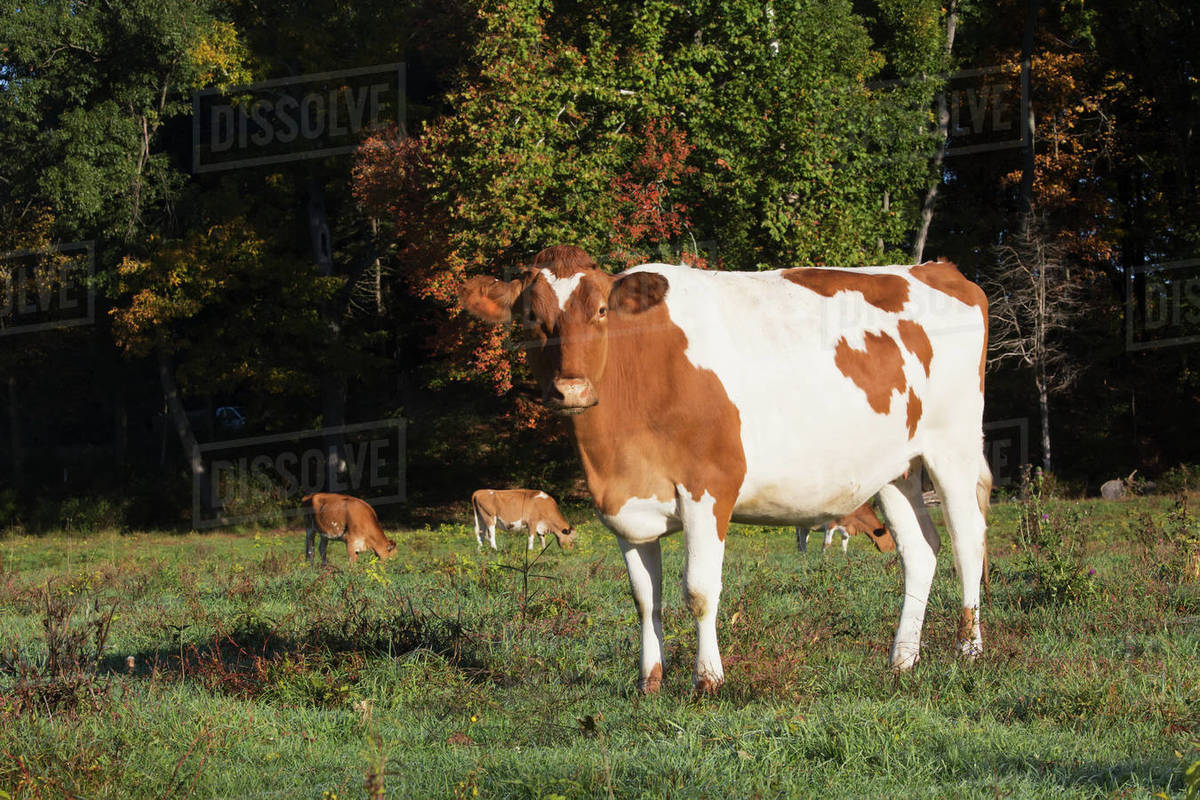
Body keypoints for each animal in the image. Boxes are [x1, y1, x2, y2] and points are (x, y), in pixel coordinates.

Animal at [460, 245, 990, 694]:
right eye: (531, 317)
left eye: (601, 311)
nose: (570, 388)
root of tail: (936, 268)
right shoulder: (626, 507)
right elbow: (644, 598)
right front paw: (649, 683)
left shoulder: (710, 487)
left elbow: (699, 590)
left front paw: (708, 680)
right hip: (898, 469)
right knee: (921, 550)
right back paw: (902, 661)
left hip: (954, 447)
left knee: (968, 541)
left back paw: (969, 650)